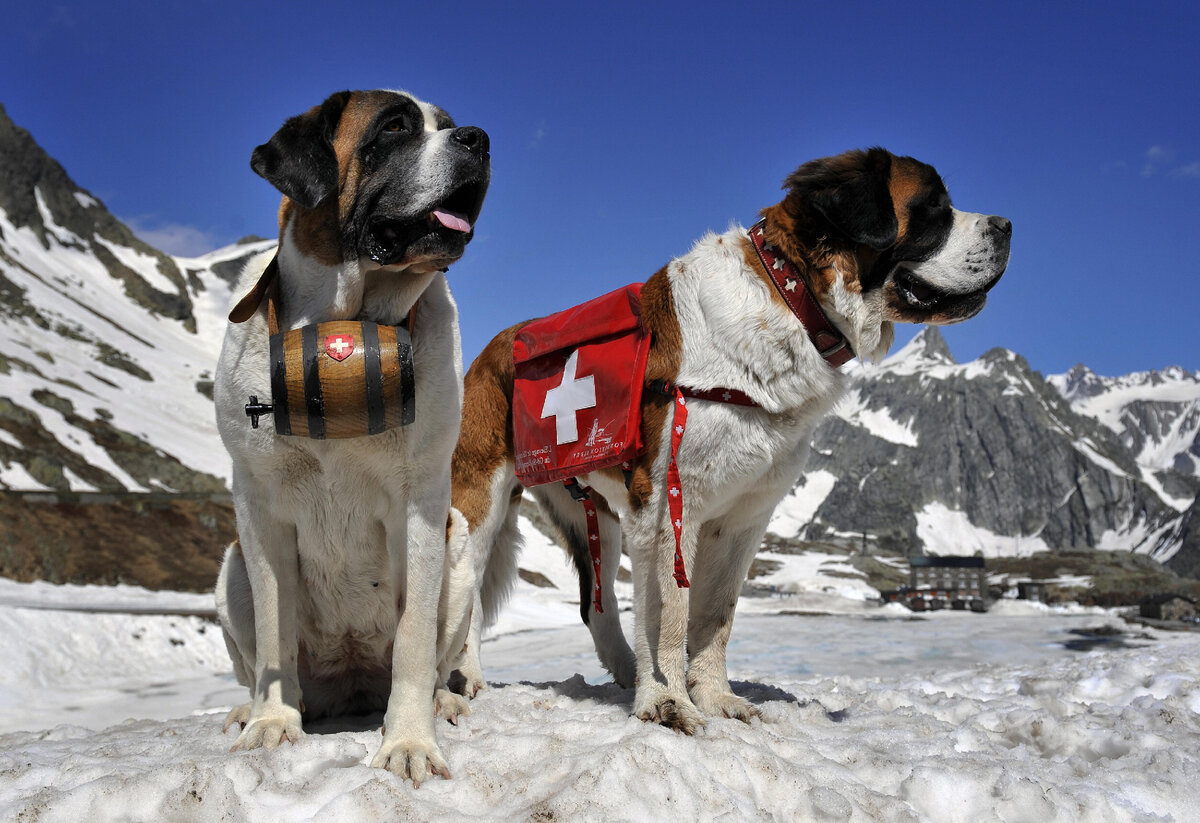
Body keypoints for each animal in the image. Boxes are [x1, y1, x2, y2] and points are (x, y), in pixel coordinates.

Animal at [212, 89, 487, 787]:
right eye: (393, 129)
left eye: (448, 126)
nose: (478, 138)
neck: (343, 320)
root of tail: (353, 684)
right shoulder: (258, 507)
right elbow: (275, 632)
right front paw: (271, 723)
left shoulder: (421, 506)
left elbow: (415, 638)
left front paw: (409, 742)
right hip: (230, 570)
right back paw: (248, 708)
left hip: (458, 554)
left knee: (437, 651)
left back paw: (442, 702)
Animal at [446, 148, 1008, 734]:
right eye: (933, 206)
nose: (1006, 225)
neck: (790, 298)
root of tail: (491, 348)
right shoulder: (669, 507)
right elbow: (668, 615)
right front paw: (667, 702)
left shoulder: (743, 519)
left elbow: (716, 613)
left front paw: (715, 697)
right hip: (480, 501)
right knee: (469, 594)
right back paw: (466, 679)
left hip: (595, 508)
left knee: (596, 605)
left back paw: (624, 672)